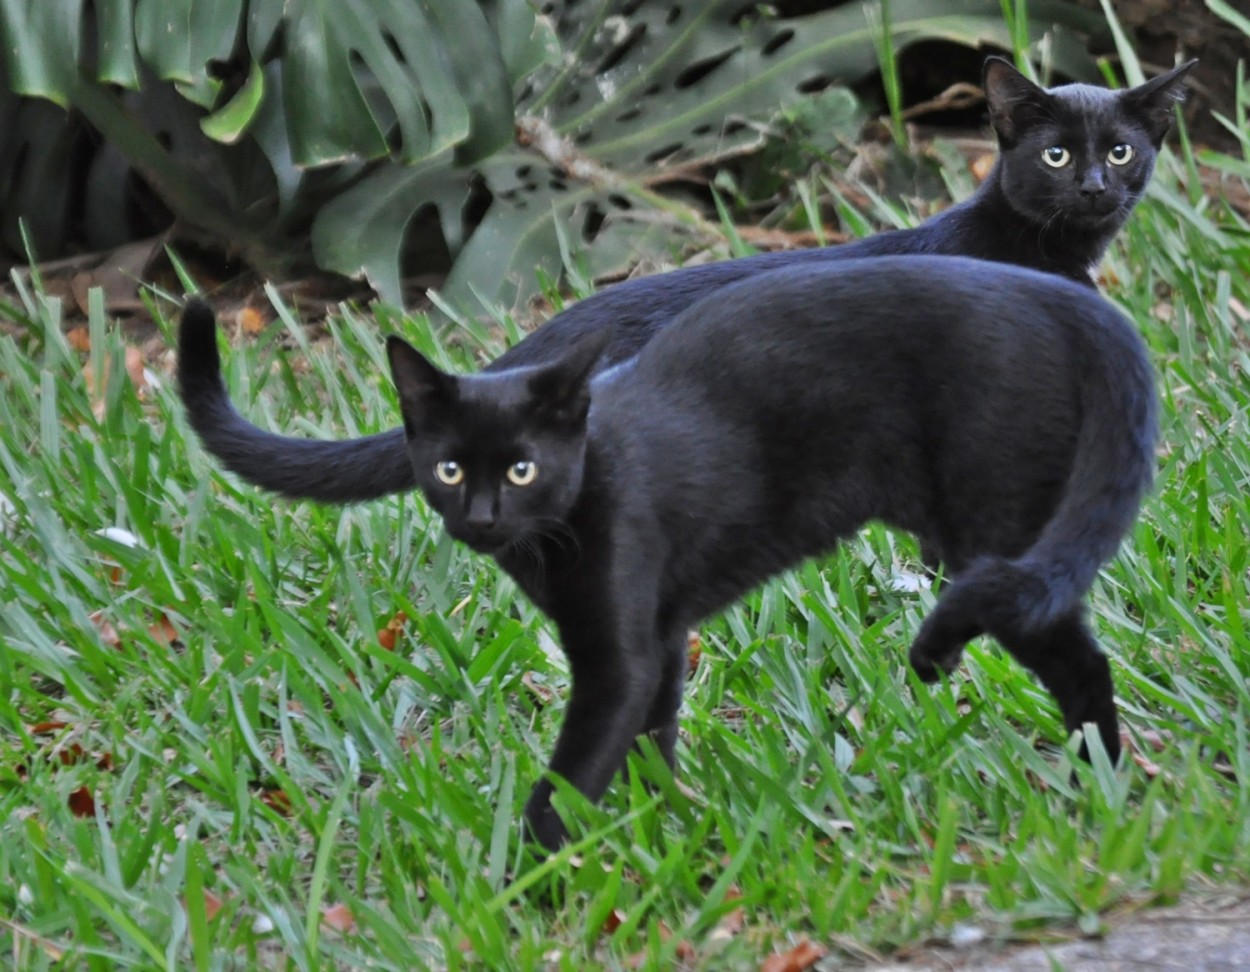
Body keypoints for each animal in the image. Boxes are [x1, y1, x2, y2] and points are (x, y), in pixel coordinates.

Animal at [178, 253, 1160, 844]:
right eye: (451, 468)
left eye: (524, 468)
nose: (484, 517)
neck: (562, 524)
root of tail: (1060, 296)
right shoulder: (657, 639)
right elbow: (650, 744)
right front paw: (663, 833)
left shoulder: (620, 654)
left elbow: (572, 773)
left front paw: (530, 879)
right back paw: (1100, 785)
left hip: (990, 535)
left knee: (1078, 657)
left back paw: (1103, 789)